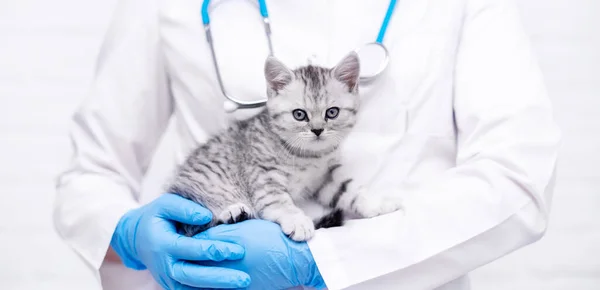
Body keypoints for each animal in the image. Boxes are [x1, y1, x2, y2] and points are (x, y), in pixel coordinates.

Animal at [166, 51, 400, 240]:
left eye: (332, 112)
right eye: (299, 115)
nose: (317, 130)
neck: (309, 156)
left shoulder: (327, 177)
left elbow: (351, 191)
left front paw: (376, 203)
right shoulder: (263, 175)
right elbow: (278, 201)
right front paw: (297, 221)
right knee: (193, 225)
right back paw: (232, 213)